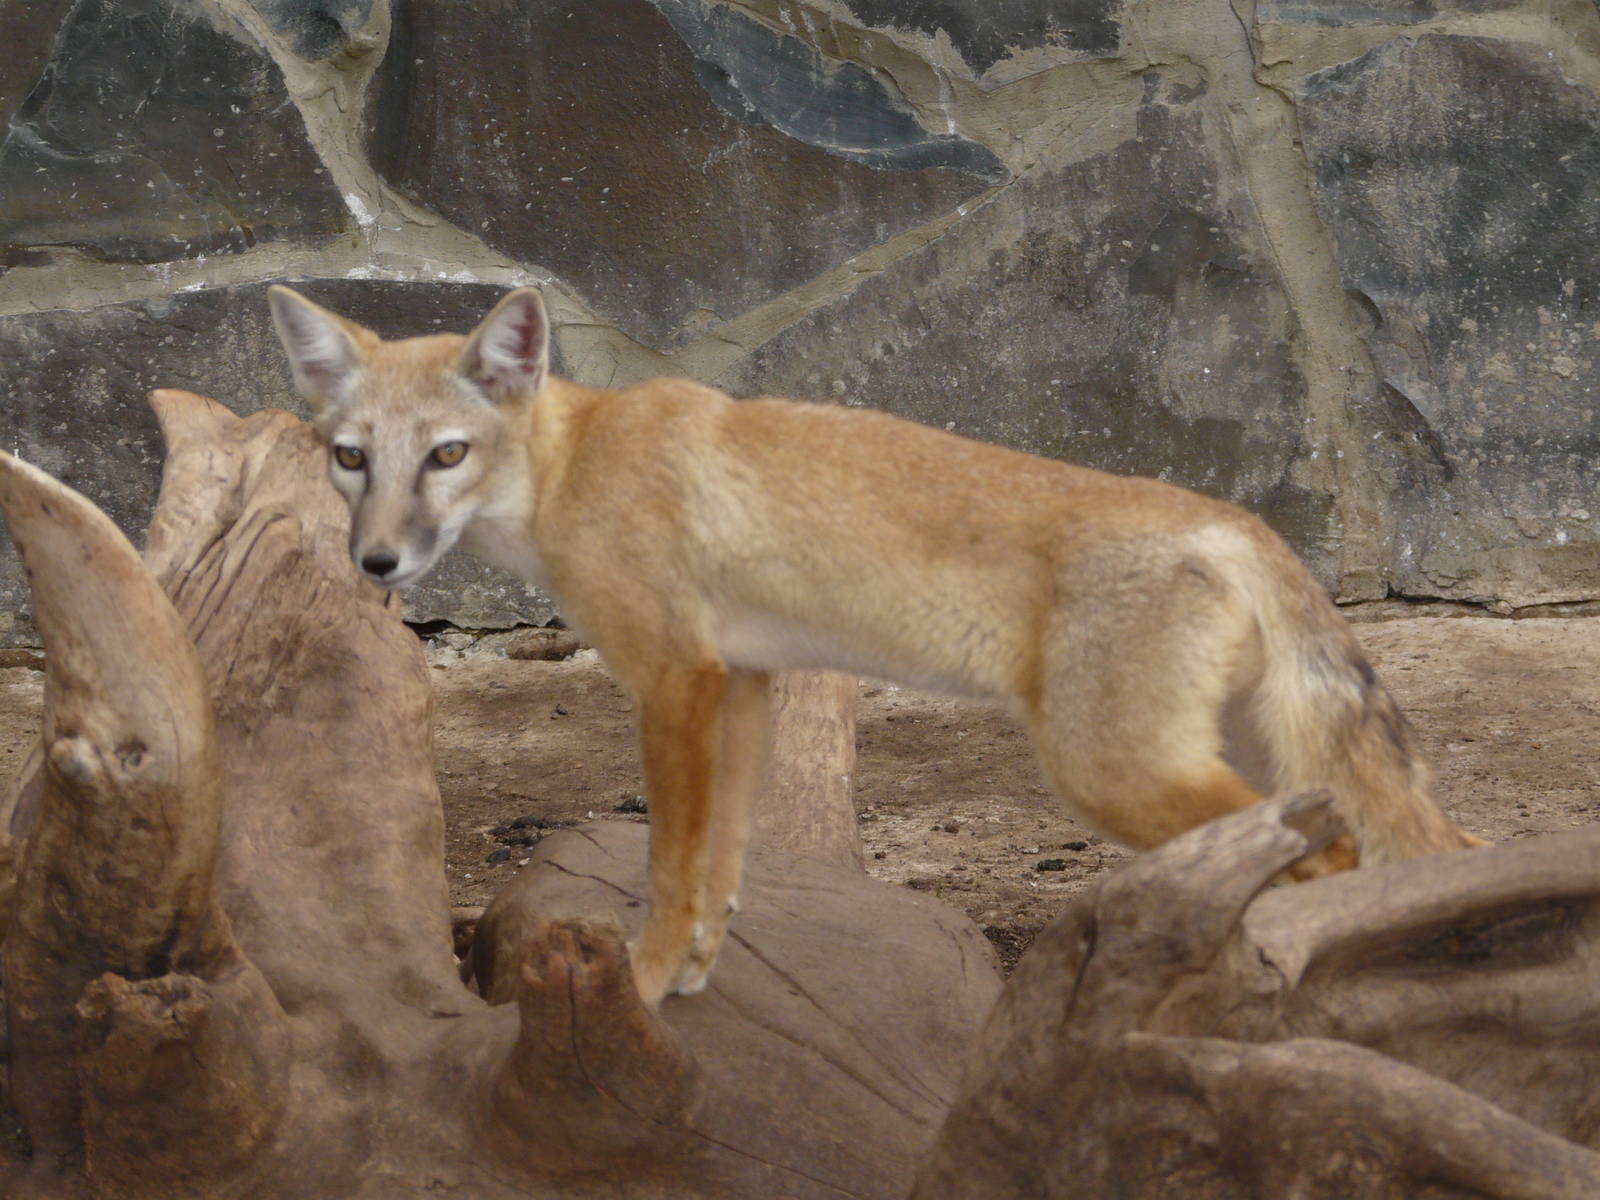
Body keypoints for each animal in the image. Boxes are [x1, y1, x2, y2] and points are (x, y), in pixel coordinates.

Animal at [267, 284, 1484, 1006]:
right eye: (349, 458)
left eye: (446, 455)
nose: (376, 563)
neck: (577, 466)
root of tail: (1242, 523)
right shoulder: (744, 683)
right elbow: (721, 863)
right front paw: (696, 971)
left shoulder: (671, 680)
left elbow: (669, 864)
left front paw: (645, 981)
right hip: (1215, 761)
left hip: (1115, 772)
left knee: (1328, 861)